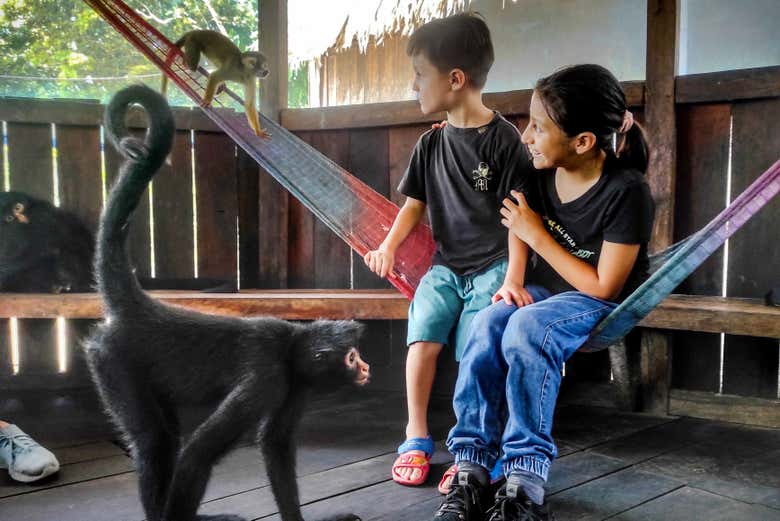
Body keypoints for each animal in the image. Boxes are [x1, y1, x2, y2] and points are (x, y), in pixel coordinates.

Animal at [84, 84, 370, 520]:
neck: (290, 345)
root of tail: (142, 307)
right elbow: (199, 452)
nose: (366, 367)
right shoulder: (268, 377)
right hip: (112, 360)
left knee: (166, 433)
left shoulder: (294, 382)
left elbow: (276, 444)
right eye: (352, 357)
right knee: (154, 440)